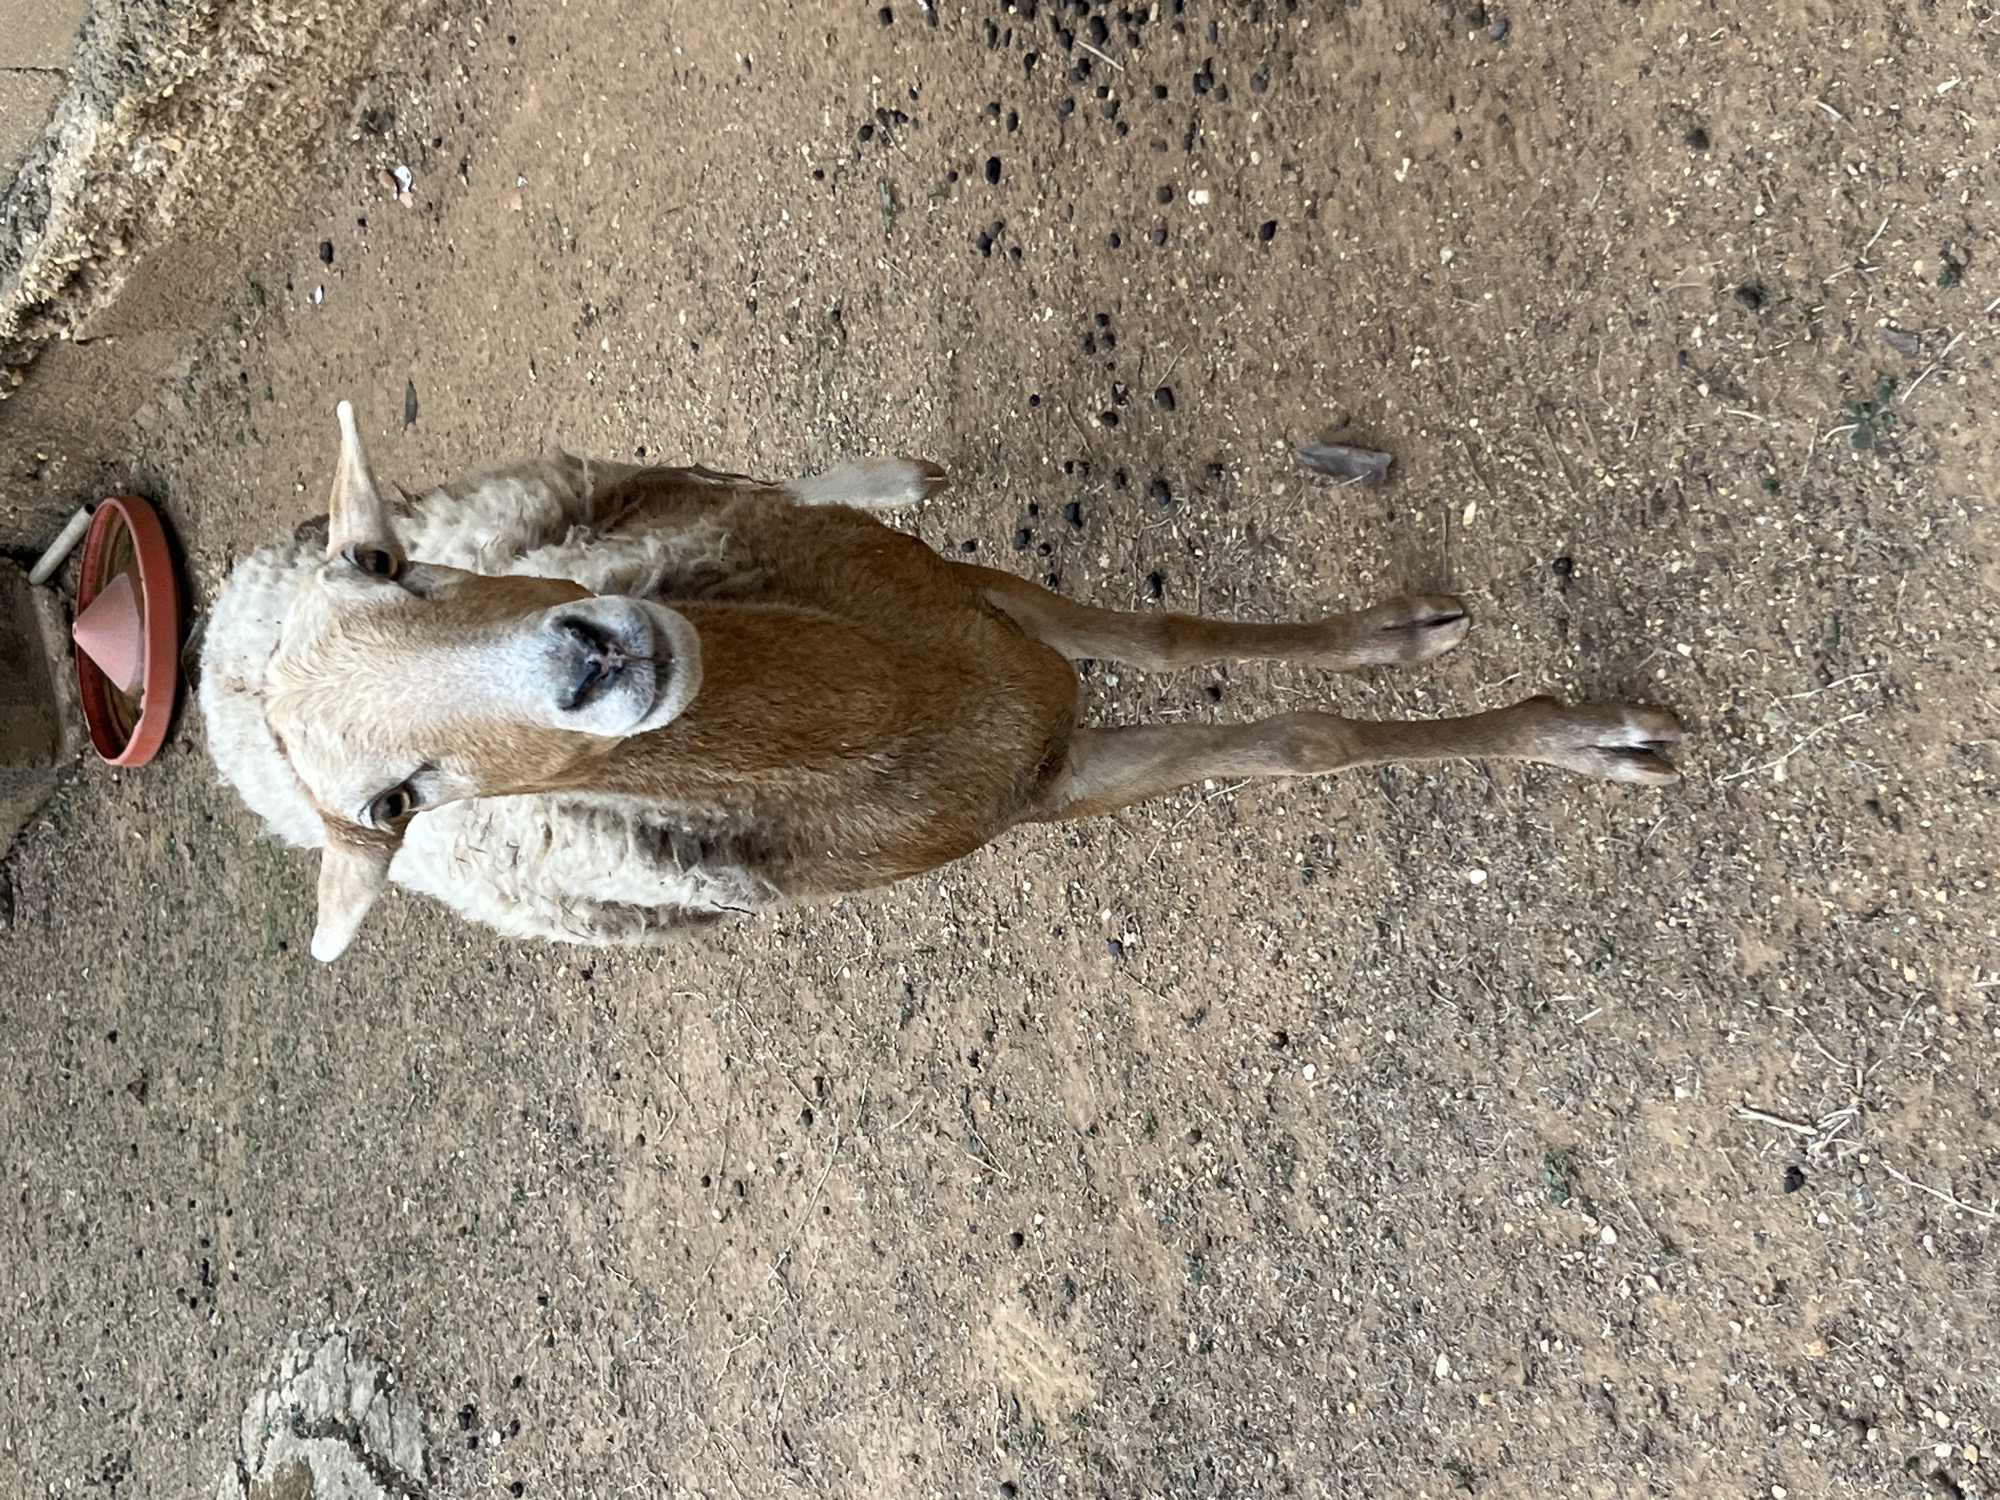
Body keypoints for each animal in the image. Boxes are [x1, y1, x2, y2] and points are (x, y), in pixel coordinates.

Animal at [200, 402, 1682, 962]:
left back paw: (884, 473)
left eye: (396, 569)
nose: (591, 654)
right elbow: (1299, 745)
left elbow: (1190, 649)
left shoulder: (983, 610)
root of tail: (216, 653)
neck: (900, 707)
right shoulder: (1045, 787)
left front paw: (1412, 636)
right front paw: (1600, 742)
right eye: (397, 803)